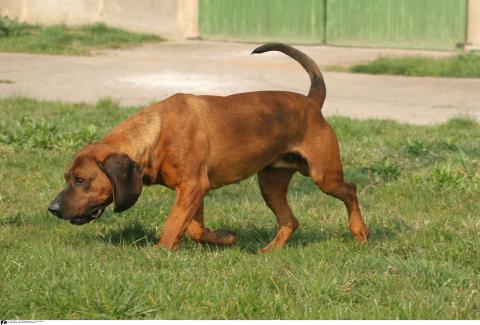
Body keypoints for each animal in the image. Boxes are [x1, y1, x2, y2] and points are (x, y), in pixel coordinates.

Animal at [48, 43, 370, 251]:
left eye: (81, 180)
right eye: (67, 178)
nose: (52, 208)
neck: (154, 136)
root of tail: (312, 102)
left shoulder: (192, 187)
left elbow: (173, 225)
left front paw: (160, 252)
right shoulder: (193, 192)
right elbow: (193, 228)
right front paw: (224, 238)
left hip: (324, 176)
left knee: (350, 191)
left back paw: (360, 232)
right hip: (270, 184)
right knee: (290, 221)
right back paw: (269, 251)